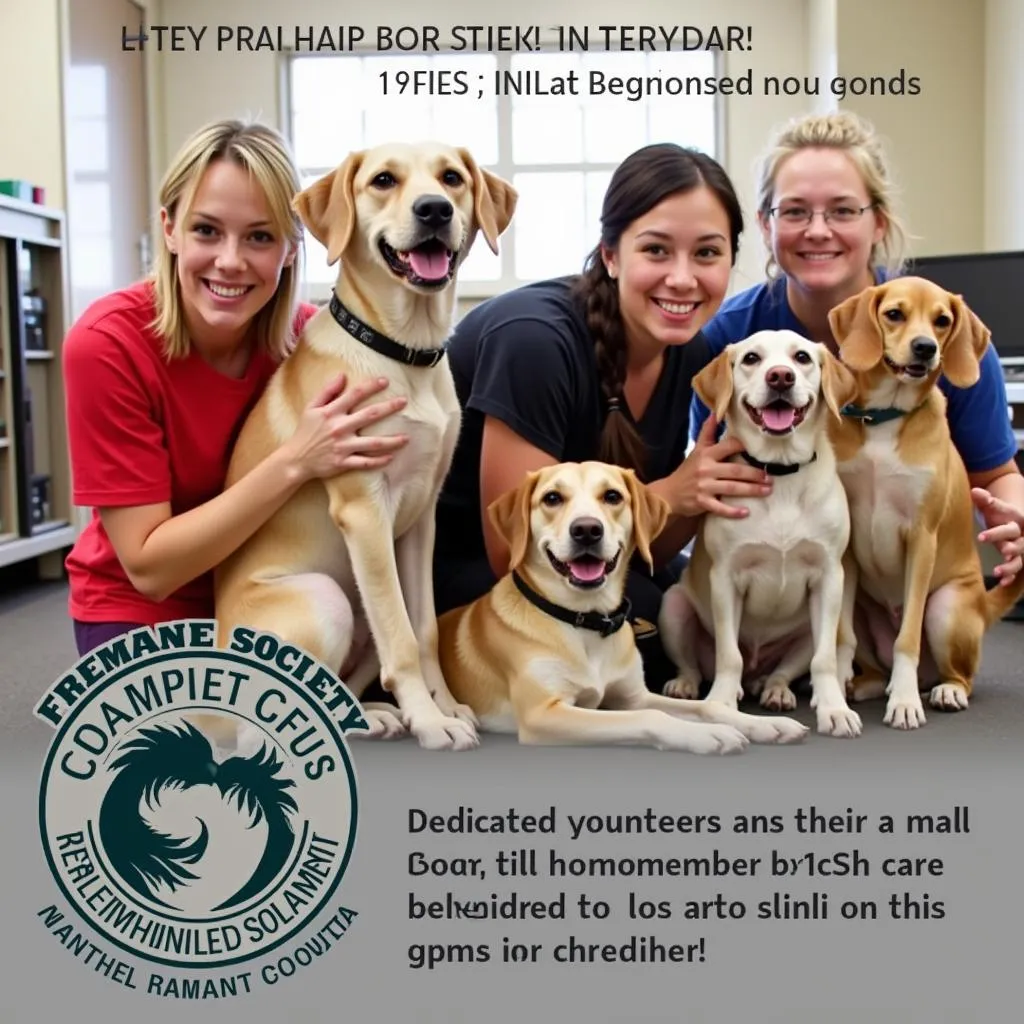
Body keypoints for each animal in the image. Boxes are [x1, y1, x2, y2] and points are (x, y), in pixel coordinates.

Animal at [217, 142, 520, 753]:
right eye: (383, 181)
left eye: (452, 178)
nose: (434, 210)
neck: (404, 353)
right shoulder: (364, 512)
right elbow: (399, 637)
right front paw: (430, 722)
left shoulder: (420, 518)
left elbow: (423, 629)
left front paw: (444, 706)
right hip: (327, 596)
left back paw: (372, 715)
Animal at [436, 462, 811, 753]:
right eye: (552, 498)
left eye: (612, 496)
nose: (587, 530)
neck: (585, 624)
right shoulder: (544, 713)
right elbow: (651, 717)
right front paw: (709, 736)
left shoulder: (634, 696)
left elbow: (705, 708)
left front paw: (760, 724)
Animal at [655, 331, 864, 741]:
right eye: (752, 358)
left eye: (802, 358)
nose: (780, 377)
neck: (780, 471)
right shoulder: (725, 578)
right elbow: (729, 655)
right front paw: (720, 704)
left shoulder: (830, 577)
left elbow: (825, 660)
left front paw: (834, 710)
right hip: (673, 606)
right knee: (697, 666)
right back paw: (686, 684)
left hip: (806, 631)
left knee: (784, 670)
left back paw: (777, 691)